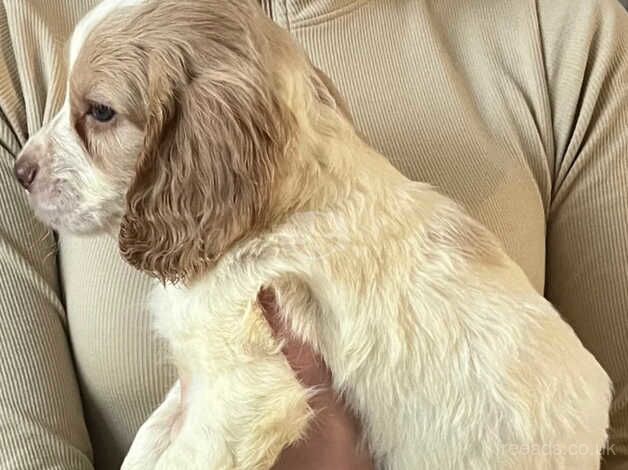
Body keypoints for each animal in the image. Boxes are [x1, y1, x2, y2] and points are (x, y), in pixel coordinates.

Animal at [15, 0, 612, 470]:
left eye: (99, 112)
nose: (19, 171)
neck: (276, 210)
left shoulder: (249, 389)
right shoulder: (199, 380)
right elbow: (148, 439)